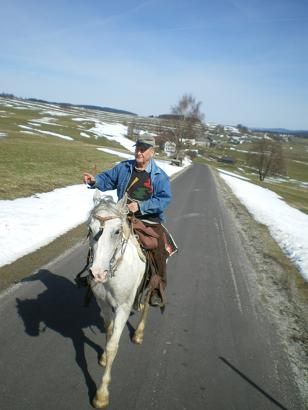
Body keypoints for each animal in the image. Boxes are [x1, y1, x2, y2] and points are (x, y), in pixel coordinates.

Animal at [86, 194, 150, 408]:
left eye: (116, 231)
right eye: (90, 229)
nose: (97, 273)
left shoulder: (123, 308)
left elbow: (113, 345)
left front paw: (101, 395)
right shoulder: (104, 304)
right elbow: (109, 332)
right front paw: (104, 358)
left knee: (146, 306)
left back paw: (138, 334)